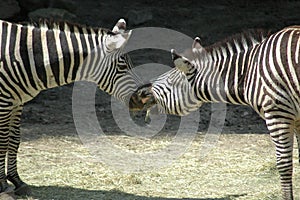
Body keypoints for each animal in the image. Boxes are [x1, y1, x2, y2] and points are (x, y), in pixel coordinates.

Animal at [0, 19, 141, 195]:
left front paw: (17, 181)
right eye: (122, 67)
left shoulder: (17, 101)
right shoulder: (4, 100)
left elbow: (14, 139)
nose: (141, 97)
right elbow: (3, 141)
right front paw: (3, 184)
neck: (28, 56)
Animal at [131, 27, 300, 200]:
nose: (138, 95)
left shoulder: (278, 114)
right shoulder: (296, 119)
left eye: (171, 83)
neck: (248, 72)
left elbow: (284, 164)